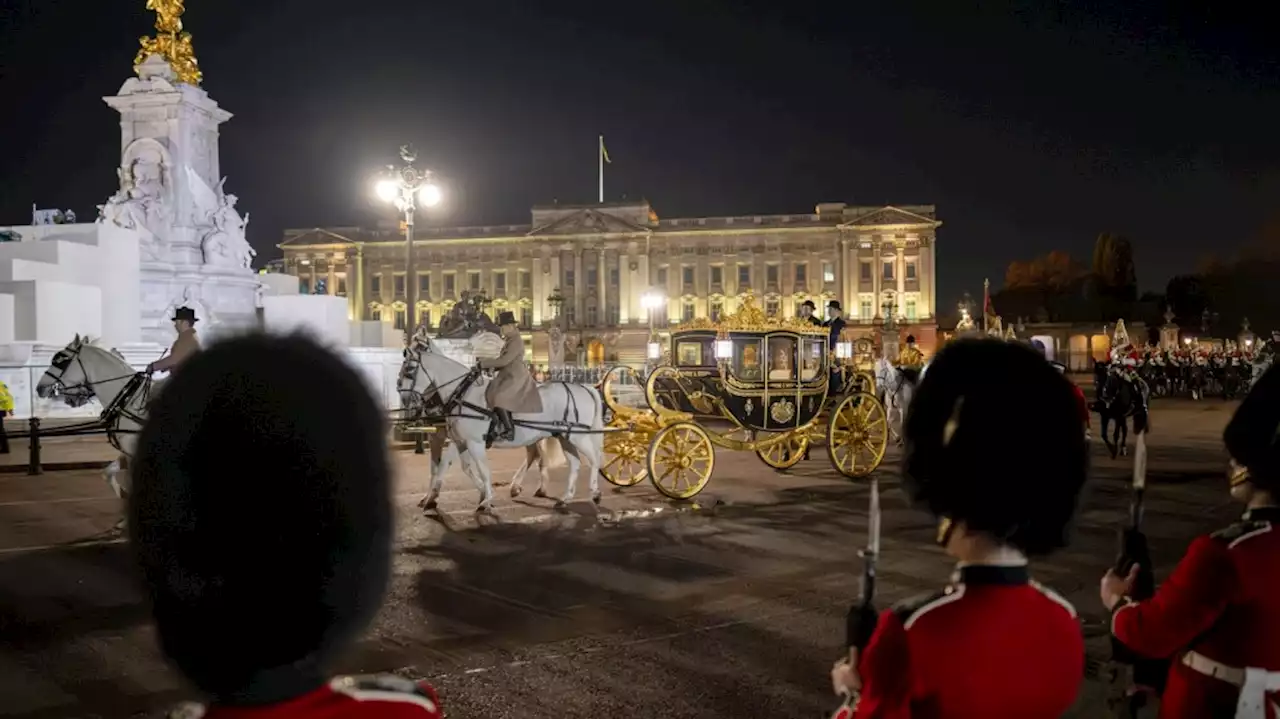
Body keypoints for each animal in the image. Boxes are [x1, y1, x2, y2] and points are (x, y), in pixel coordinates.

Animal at [401, 337, 606, 509]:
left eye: (409, 371)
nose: (404, 399)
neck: (463, 394)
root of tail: (585, 388)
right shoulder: (458, 440)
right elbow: (450, 466)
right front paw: (432, 497)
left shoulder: (474, 442)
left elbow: (482, 469)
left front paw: (486, 499)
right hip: (564, 436)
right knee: (572, 462)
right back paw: (564, 497)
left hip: (578, 436)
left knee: (594, 459)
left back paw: (595, 492)